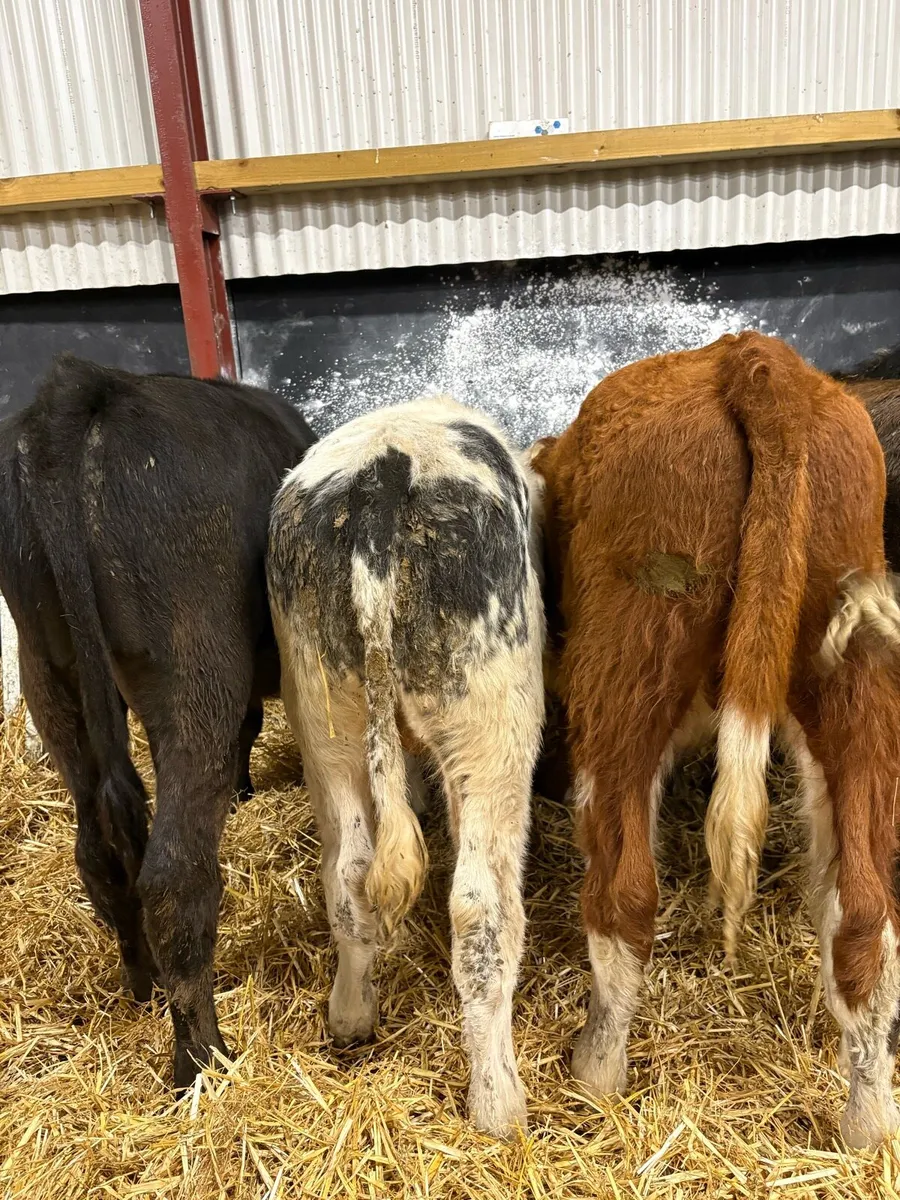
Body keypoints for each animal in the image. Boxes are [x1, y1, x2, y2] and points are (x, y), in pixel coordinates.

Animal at [0, 355, 316, 1090]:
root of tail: (86, 387)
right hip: (194, 660)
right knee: (174, 873)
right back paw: (202, 1061)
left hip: (46, 670)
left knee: (98, 852)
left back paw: (140, 987)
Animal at [267, 396, 546, 1137]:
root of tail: (380, 481)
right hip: (492, 726)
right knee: (480, 908)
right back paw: (498, 1104)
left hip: (325, 721)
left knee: (350, 875)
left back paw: (350, 1016)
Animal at [531, 331, 900, 1149]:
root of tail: (753, 359)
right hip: (852, 678)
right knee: (864, 913)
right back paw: (867, 1124)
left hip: (628, 664)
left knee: (625, 891)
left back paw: (595, 1071)